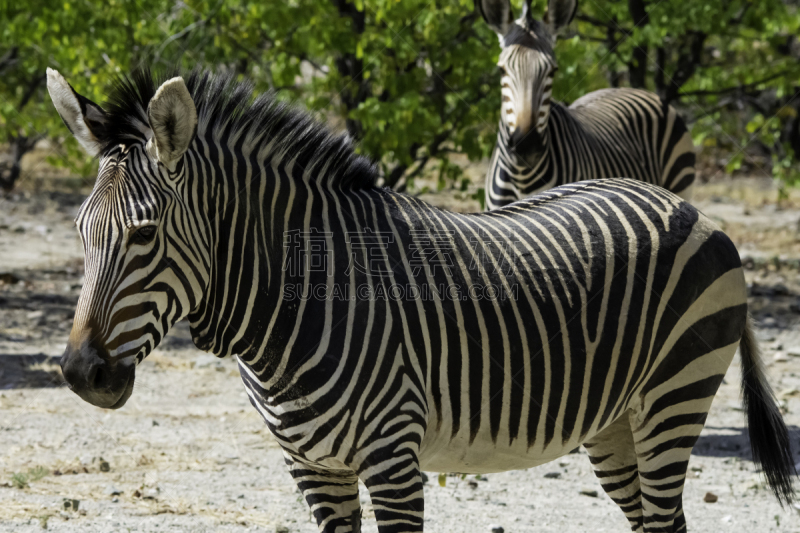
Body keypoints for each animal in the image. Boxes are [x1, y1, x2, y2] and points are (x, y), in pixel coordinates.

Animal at [51, 67, 792, 532]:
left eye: (145, 234)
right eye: (81, 231)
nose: (81, 374)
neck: (297, 305)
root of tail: (689, 207)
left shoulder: (393, 458)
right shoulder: (312, 468)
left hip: (675, 395)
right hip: (615, 419)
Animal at [478, 0, 696, 211]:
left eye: (553, 71)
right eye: (501, 70)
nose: (527, 144)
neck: (522, 175)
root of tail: (638, 90)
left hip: (680, 186)